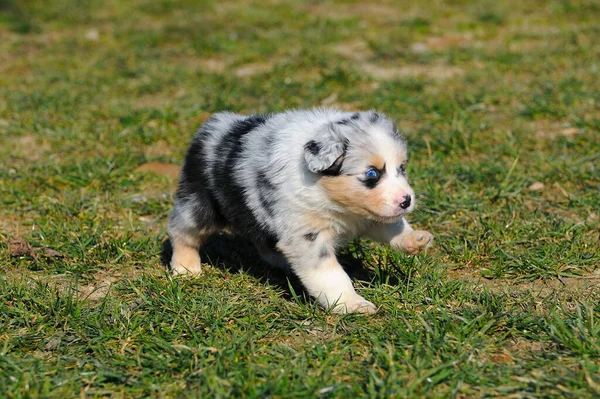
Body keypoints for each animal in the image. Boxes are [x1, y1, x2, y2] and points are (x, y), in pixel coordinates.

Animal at [166, 110, 434, 316]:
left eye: (402, 168)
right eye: (372, 174)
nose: (407, 201)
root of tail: (212, 124)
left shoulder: (368, 213)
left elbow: (392, 226)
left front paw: (415, 240)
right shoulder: (308, 234)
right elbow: (331, 274)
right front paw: (351, 304)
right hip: (198, 205)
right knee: (181, 231)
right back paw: (186, 268)